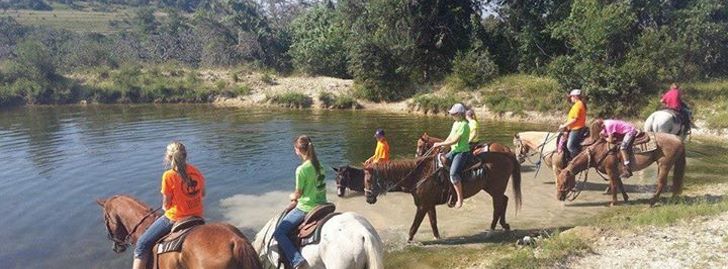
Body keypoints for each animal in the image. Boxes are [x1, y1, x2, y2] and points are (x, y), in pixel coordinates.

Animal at [362, 151, 520, 241]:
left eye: (368, 180)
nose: (368, 199)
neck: (419, 175)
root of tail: (507, 156)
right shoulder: (429, 205)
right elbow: (433, 222)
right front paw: (437, 238)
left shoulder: (422, 206)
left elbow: (414, 226)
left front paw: (408, 240)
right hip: (492, 189)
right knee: (504, 201)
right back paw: (504, 225)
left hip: (495, 189)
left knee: (498, 206)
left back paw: (492, 230)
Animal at [556, 132, 684, 205]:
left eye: (565, 182)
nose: (559, 197)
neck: (598, 151)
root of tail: (678, 139)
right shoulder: (616, 171)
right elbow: (620, 184)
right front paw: (626, 198)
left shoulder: (611, 170)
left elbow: (614, 185)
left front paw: (613, 202)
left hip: (664, 165)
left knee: (661, 183)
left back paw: (652, 202)